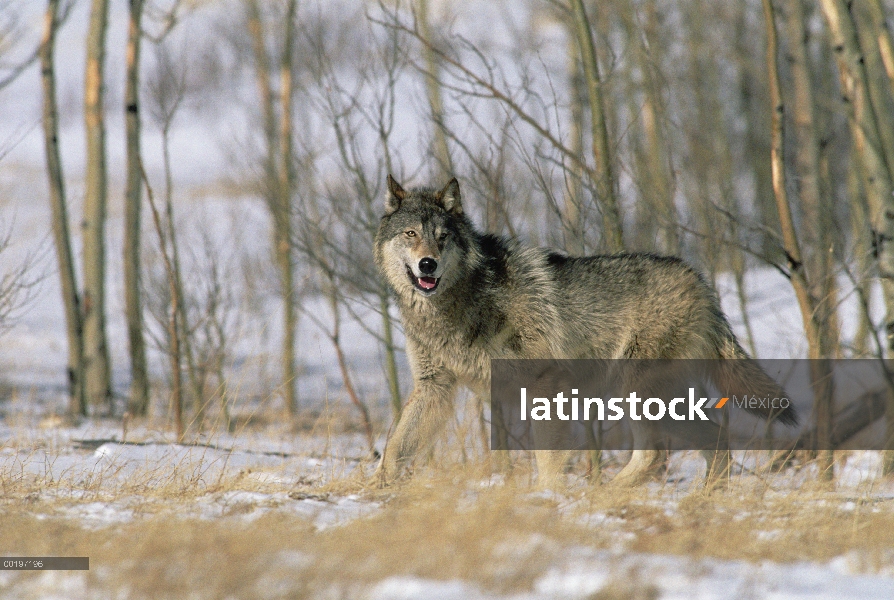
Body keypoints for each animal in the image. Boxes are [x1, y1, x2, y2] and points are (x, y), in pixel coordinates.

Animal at [372, 175, 800, 488]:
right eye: (411, 234)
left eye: (443, 237)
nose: (428, 265)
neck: (457, 303)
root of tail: (700, 281)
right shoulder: (435, 386)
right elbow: (395, 448)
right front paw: (377, 490)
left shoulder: (546, 384)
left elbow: (548, 460)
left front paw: (547, 499)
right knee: (712, 442)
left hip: (636, 391)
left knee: (658, 454)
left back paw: (607, 496)